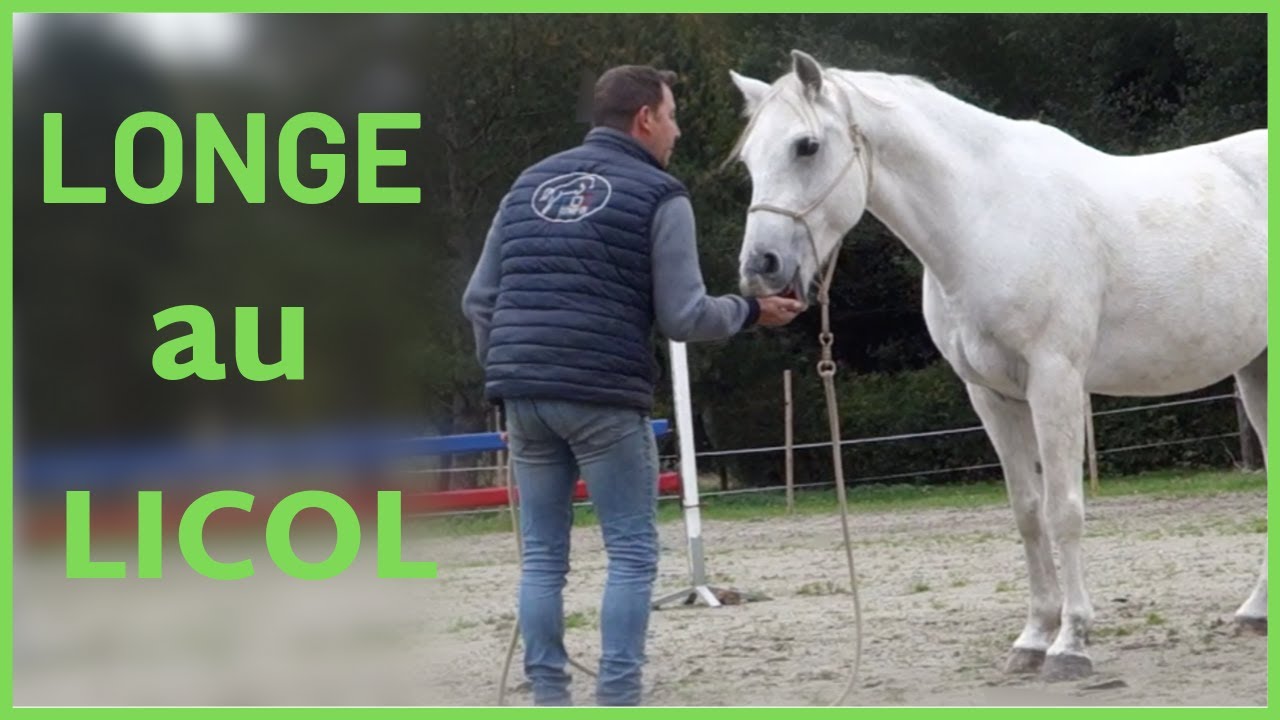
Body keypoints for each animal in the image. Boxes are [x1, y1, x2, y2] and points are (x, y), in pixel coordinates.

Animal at [726, 49, 1267, 682]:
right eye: (749, 158)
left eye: (806, 146)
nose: (761, 268)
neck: (985, 219)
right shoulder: (991, 395)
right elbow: (1027, 512)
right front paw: (1033, 639)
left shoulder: (1056, 383)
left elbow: (1064, 510)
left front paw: (1071, 644)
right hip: (1254, 371)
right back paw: (1255, 611)